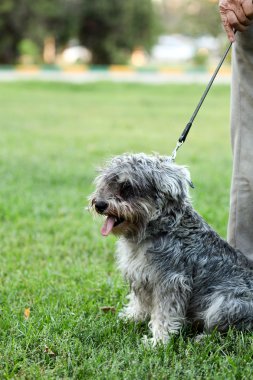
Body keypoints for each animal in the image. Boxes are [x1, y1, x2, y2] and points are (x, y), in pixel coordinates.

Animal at [89, 153, 253, 346]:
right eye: (107, 183)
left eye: (128, 186)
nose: (99, 204)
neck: (157, 228)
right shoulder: (140, 276)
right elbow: (139, 302)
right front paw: (131, 317)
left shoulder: (171, 282)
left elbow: (164, 314)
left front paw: (158, 341)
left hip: (224, 304)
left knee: (229, 331)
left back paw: (202, 339)